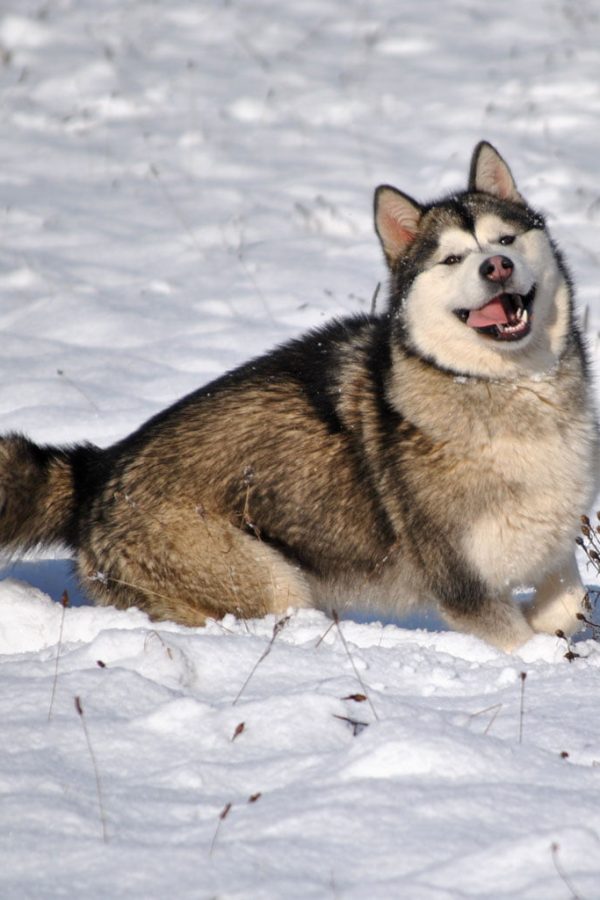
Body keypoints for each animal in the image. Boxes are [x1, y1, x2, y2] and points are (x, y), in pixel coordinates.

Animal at [2, 139, 596, 648]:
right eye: (451, 260)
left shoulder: (553, 539)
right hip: (268, 581)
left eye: (505, 240)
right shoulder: (463, 585)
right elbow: (524, 644)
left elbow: (565, 604)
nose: (496, 266)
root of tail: (97, 470)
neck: (506, 388)